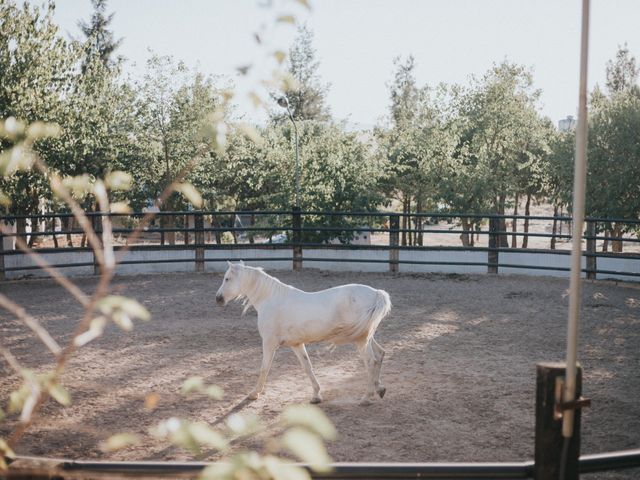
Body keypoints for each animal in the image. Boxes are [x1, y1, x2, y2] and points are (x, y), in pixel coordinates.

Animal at [215, 262, 390, 404]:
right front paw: (316, 396)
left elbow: (264, 368)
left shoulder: (269, 343)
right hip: (366, 337)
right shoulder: (297, 344)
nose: (218, 299)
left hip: (361, 340)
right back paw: (379, 389)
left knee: (371, 361)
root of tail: (377, 293)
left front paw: (253, 394)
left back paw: (366, 397)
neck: (270, 299)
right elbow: (307, 367)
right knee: (380, 354)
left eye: (227, 279)